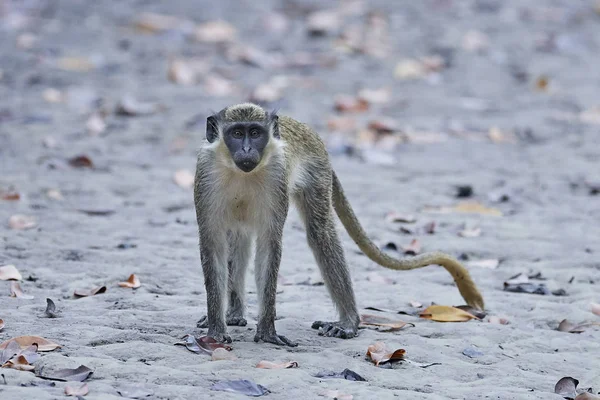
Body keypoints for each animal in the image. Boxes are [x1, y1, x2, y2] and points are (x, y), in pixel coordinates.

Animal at [195, 103, 486, 346]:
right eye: (236, 133)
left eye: (255, 133)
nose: (246, 149)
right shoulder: (205, 176)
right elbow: (214, 244)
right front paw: (217, 330)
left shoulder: (277, 178)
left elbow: (270, 245)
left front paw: (266, 331)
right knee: (239, 236)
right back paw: (233, 313)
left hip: (317, 174)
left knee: (319, 232)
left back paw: (348, 323)